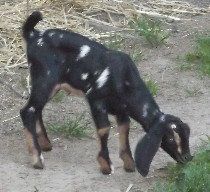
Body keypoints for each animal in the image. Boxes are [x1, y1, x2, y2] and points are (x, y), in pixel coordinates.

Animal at [20, 11, 193, 177]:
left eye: (186, 135)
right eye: (169, 138)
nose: (187, 157)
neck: (125, 79)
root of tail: (34, 35)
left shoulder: (121, 110)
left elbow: (124, 128)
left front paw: (129, 163)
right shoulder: (96, 100)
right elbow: (104, 129)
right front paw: (106, 166)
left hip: (48, 86)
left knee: (37, 109)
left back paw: (46, 145)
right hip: (45, 80)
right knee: (27, 111)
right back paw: (37, 159)